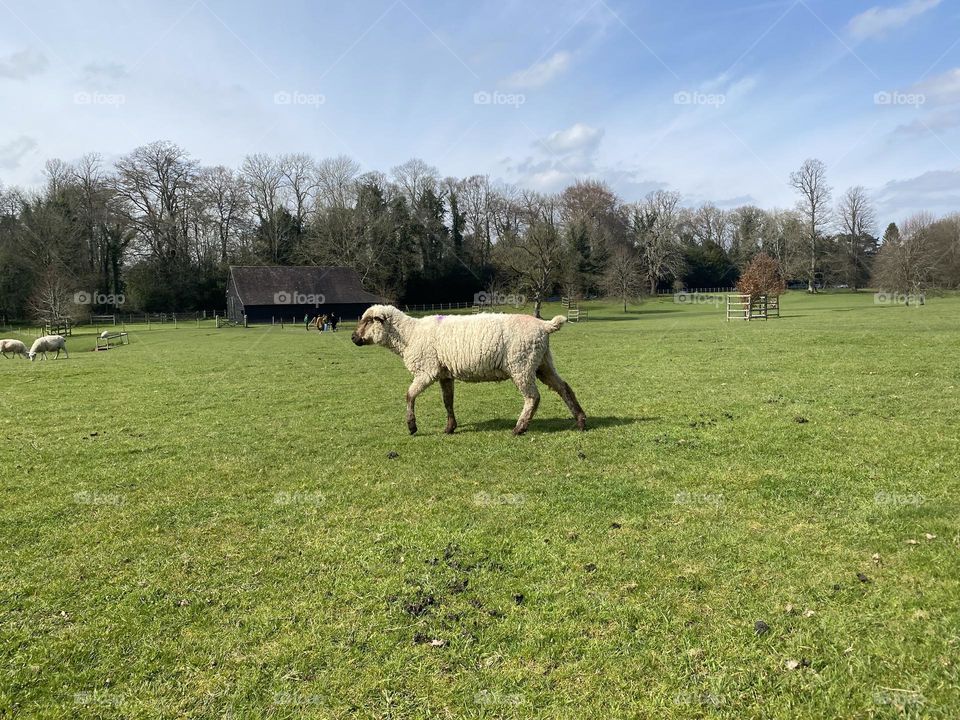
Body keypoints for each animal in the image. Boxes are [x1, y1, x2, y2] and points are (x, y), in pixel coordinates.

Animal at [351, 305, 586, 435]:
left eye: (368, 320)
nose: (353, 338)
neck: (409, 335)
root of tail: (544, 326)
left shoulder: (427, 371)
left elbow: (409, 395)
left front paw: (412, 426)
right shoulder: (444, 373)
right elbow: (448, 401)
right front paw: (450, 427)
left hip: (521, 364)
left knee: (532, 397)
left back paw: (519, 428)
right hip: (542, 363)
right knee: (564, 388)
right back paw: (581, 421)